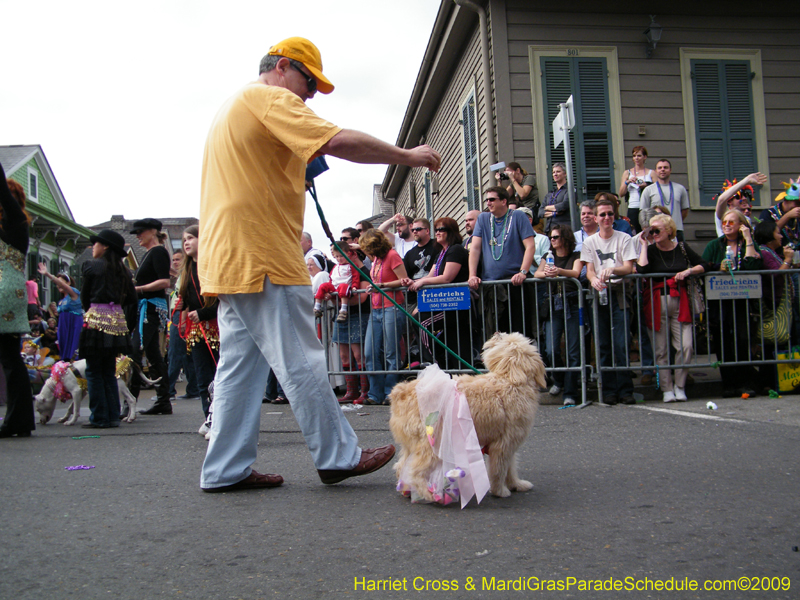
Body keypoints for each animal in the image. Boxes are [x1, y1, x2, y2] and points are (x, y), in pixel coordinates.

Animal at [386, 332, 544, 502]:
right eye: (506, 339)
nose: (497, 333)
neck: (510, 380)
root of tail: (400, 392)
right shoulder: (503, 445)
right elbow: (499, 470)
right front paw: (500, 491)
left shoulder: (508, 446)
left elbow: (511, 468)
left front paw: (516, 484)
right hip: (430, 444)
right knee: (414, 471)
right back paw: (429, 494)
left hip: (412, 445)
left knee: (401, 466)